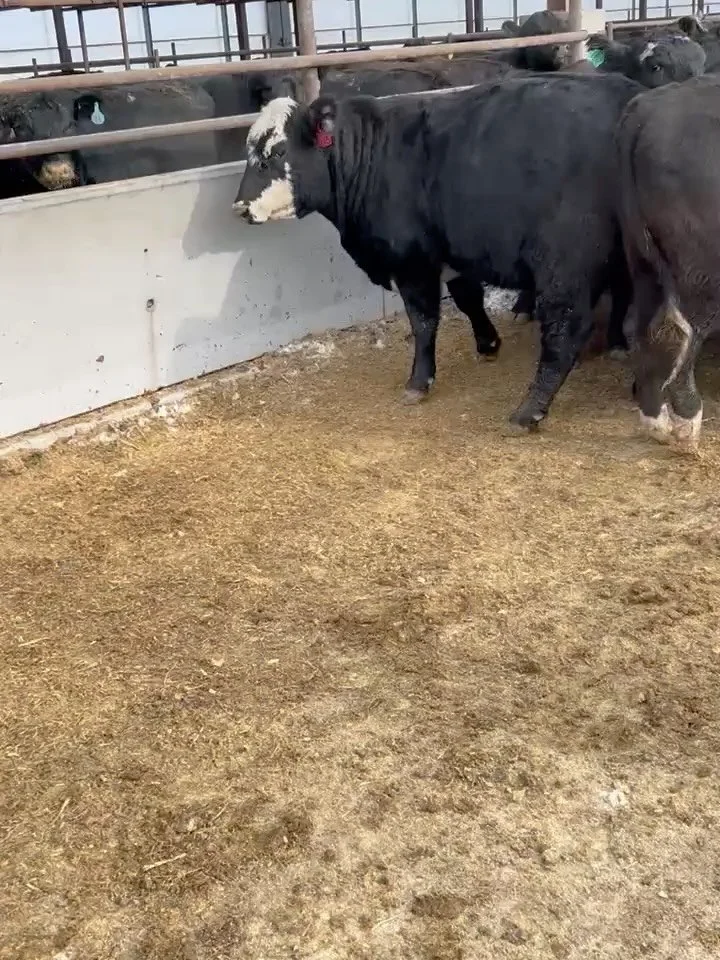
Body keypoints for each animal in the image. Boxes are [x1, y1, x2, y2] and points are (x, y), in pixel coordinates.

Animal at [232, 75, 643, 429]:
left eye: (277, 150)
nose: (239, 208)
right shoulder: (452, 254)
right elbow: (468, 300)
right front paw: (488, 343)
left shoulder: (413, 264)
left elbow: (424, 322)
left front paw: (419, 381)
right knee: (625, 296)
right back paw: (618, 347)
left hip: (564, 265)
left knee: (565, 330)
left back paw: (530, 410)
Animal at [616, 75, 720, 453]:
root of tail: (645, 108)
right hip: (702, 266)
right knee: (689, 332)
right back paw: (687, 420)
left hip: (640, 255)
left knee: (638, 326)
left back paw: (655, 420)